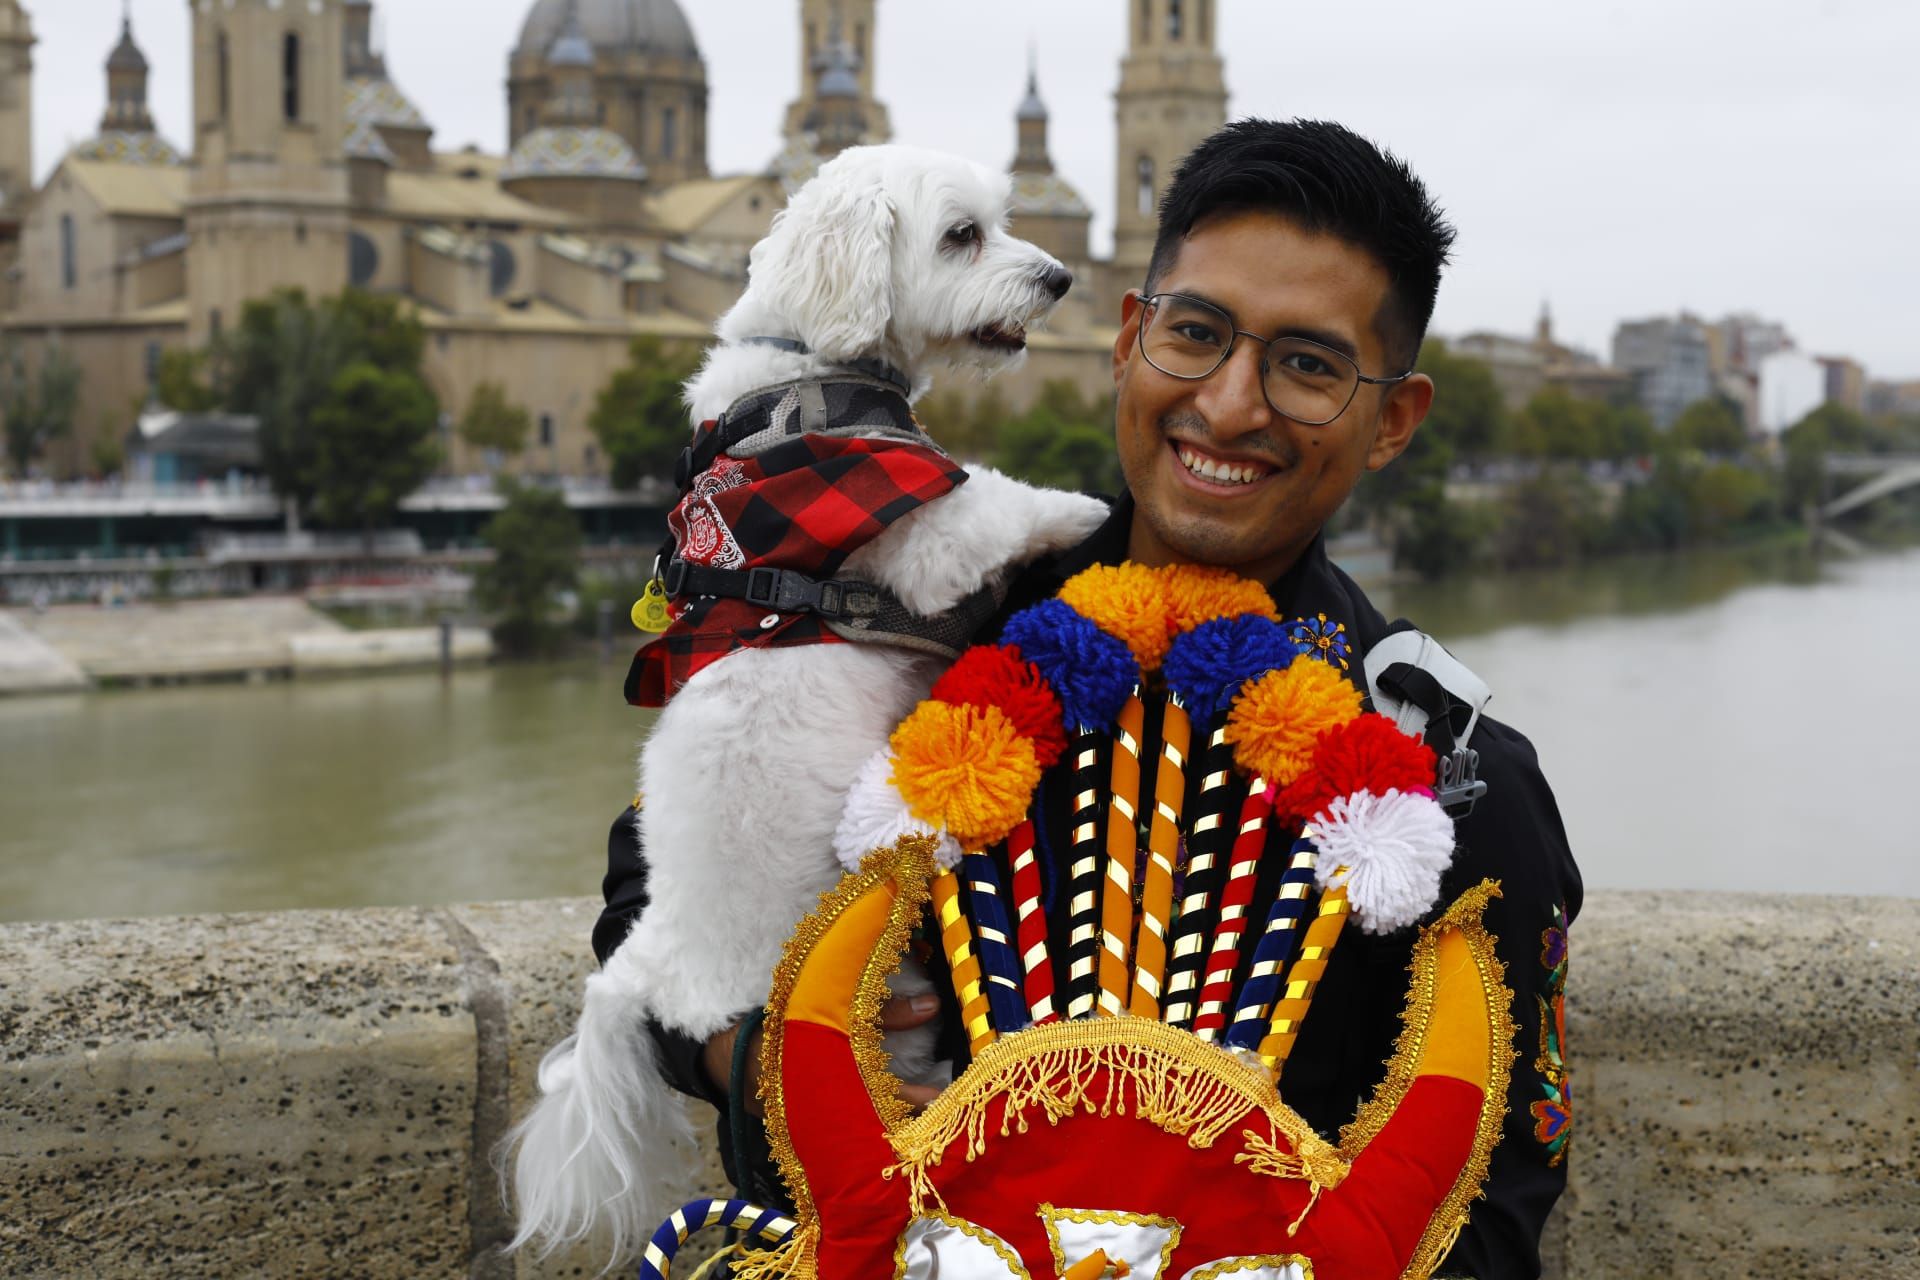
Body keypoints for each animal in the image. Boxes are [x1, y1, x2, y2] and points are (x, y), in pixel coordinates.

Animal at [506, 144, 1113, 1266]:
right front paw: (1088, 504)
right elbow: (999, 492)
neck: (805, 366)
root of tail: (648, 970)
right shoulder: (923, 535)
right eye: (962, 235)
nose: (1057, 279)